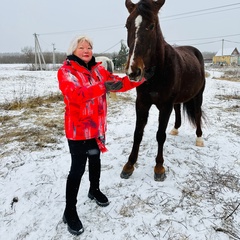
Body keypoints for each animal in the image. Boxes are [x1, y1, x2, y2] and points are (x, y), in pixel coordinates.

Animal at [121, 0, 205, 181]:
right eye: (127, 25)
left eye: (152, 25)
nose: (134, 71)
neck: (157, 72)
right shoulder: (142, 104)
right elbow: (137, 133)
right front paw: (129, 165)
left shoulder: (165, 106)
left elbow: (160, 135)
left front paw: (159, 168)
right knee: (179, 109)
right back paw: (175, 129)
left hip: (198, 96)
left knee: (197, 113)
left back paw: (199, 138)